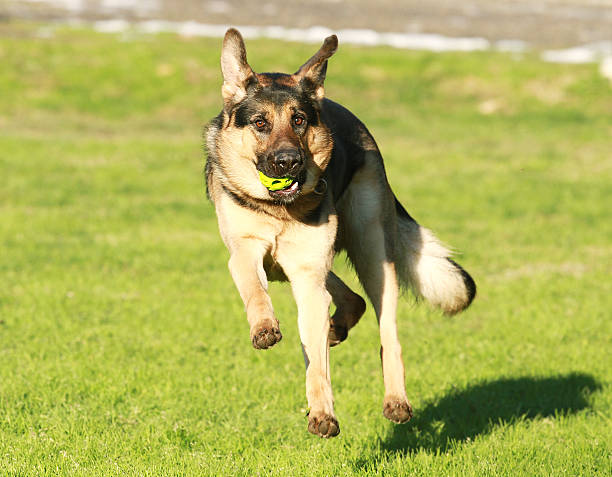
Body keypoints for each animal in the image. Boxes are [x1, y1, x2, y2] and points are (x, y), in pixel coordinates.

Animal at [203, 29, 476, 436]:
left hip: (372, 254)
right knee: (351, 299)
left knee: (386, 330)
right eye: (260, 123)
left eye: (299, 120)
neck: (279, 210)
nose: (289, 162)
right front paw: (265, 327)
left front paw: (322, 413)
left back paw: (395, 400)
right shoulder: (247, 253)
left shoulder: (307, 277)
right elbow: (255, 291)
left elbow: (317, 362)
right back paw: (338, 325)